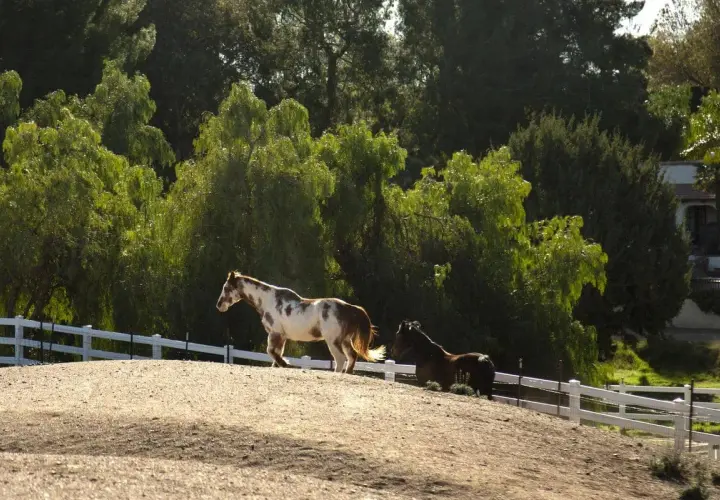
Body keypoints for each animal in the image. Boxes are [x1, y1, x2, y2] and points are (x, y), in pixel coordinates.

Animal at [215, 271, 386, 374]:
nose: (219, 305)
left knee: (341, 359)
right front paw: (280, 365)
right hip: (344, 340)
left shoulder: (275, 333)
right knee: (352, 357)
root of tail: (350, 308)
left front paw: (286, 364)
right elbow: (276, 354)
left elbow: (271, 352)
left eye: (226, 288)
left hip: (333, 341)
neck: (268, 301)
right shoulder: (282, 336)